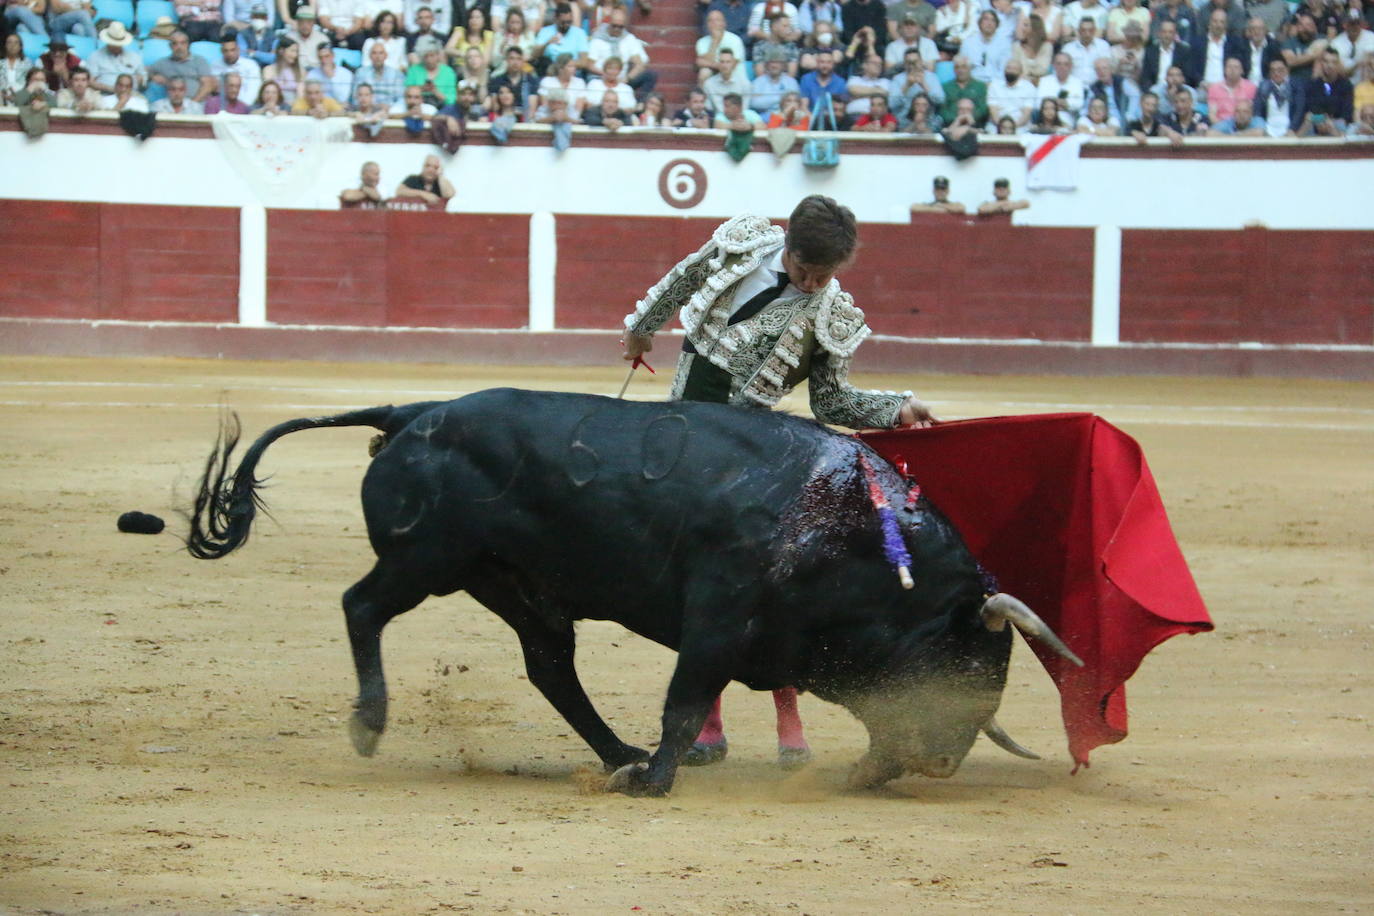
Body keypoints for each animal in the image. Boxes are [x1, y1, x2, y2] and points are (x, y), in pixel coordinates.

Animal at [185, 387, 1082, 796]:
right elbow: (685, 701)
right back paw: (371, 723)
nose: (942, 761)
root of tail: (418, 410)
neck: (857, 529)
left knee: (551, 667)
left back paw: (619, 756)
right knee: (362, 606)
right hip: (427, 562)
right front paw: (661, 781)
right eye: (974, 658)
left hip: (515, 587)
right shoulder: (716, 618)